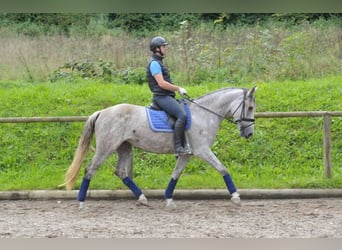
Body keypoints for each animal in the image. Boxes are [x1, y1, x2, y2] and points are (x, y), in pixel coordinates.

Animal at [59, 86, 256, 209]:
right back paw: (81, 202)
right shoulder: (202, 150)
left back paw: (142, 198)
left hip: (124, 147)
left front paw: (169, 199)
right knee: (90, 170)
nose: (249, 134)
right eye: (250, 107)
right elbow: (223, 169)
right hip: (106, 147)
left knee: (121, 172)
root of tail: (102, 112)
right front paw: (236, 197)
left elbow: (175, 175)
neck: (204, 114)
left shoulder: (187, 154)